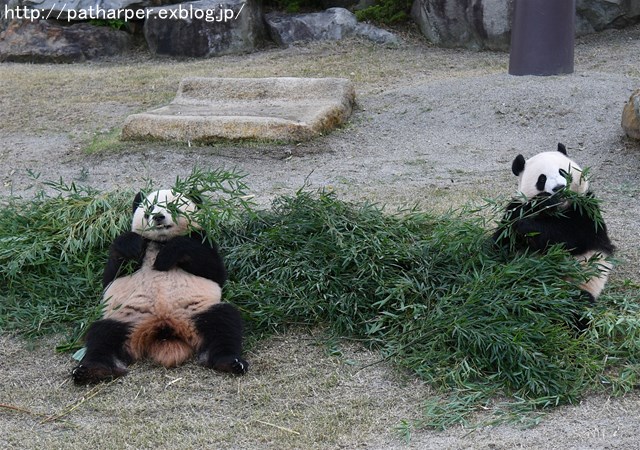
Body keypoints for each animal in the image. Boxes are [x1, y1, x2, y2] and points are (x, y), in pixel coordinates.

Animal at [72, 189, 248, 384]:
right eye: (150, 208)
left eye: (172, 206)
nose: (158, 217)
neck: (160, 242)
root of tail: (163, 328)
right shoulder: (134, 248)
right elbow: (112, 274)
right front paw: (131, 245)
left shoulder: (202, 238)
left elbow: (214, 270)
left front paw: (165, 258)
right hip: (125, 319)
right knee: (102, 336)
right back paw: (93, 370)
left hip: (196, 312)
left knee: (224, 322)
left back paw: (230, 362)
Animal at [496, 143, 616, 306]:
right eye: (542, 179)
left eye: (563, 172)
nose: (558, 188)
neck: (559, 209)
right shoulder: (515, 208)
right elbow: (502, 242)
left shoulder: (587, 210)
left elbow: (571, 236)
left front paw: (527, 224)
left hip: (582, 282)